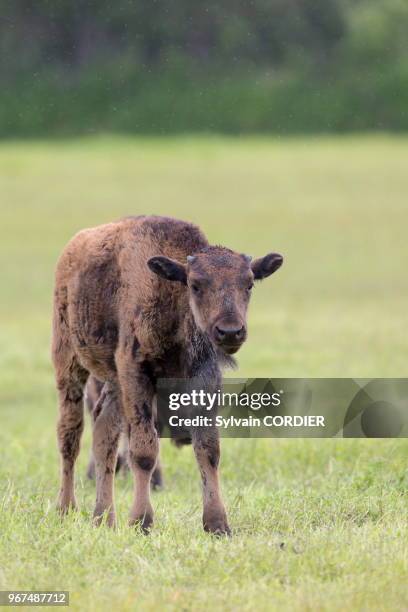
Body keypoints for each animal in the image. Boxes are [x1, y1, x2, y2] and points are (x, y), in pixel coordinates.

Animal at [51, 216, 284, 536]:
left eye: (248, 284)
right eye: (195, 284)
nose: (230, 331)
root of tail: (70, 253)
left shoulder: (204, 378)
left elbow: (208, 449)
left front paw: (217, 524)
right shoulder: (136, 373)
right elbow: (144, 450)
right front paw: (141, 521)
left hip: (113, 383)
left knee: (104, 434)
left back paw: (103, 519)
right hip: (70, 363)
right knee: (70, 435)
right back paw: (66, 510)